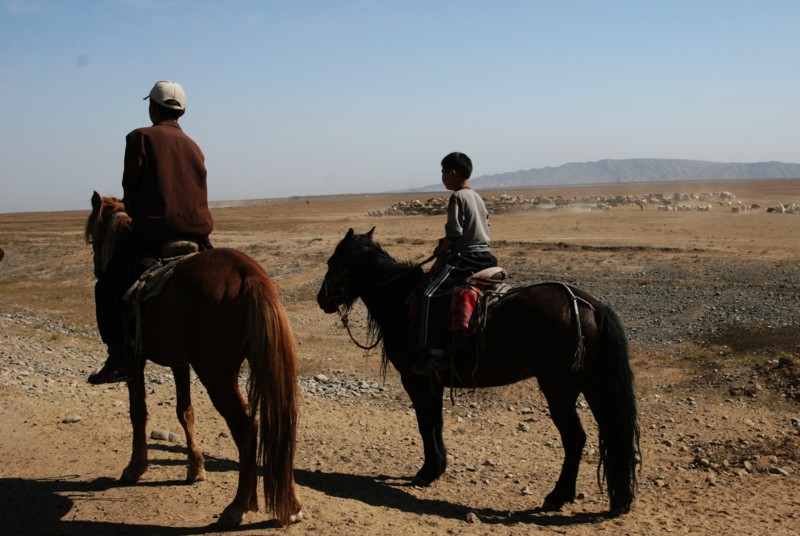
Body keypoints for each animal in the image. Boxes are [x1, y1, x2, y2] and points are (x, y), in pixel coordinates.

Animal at [85, 191, 304, 524]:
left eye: (93, 239)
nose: (99, 268)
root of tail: (249, 275)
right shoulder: (180, 362)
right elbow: (184, 410)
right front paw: (196, 468)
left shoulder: (135, 358)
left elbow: (138, 412)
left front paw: (135, 467)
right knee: (279, 424)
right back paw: (291, 504)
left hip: (217, 374)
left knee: (247, 426)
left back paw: (237, 506)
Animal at [316, 228, 640, 516]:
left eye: (332, 262)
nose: (321, 299)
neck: (401, 298)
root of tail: (589, 305)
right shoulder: (434, 381)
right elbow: (436, 423)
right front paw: (438, 467)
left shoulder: (415, 379)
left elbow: (424, 424)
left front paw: (426, 472)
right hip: (594, 385)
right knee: (611, 432)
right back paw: (620, 499)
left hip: (558, 388)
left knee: (575, 438)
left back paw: (557, 496)